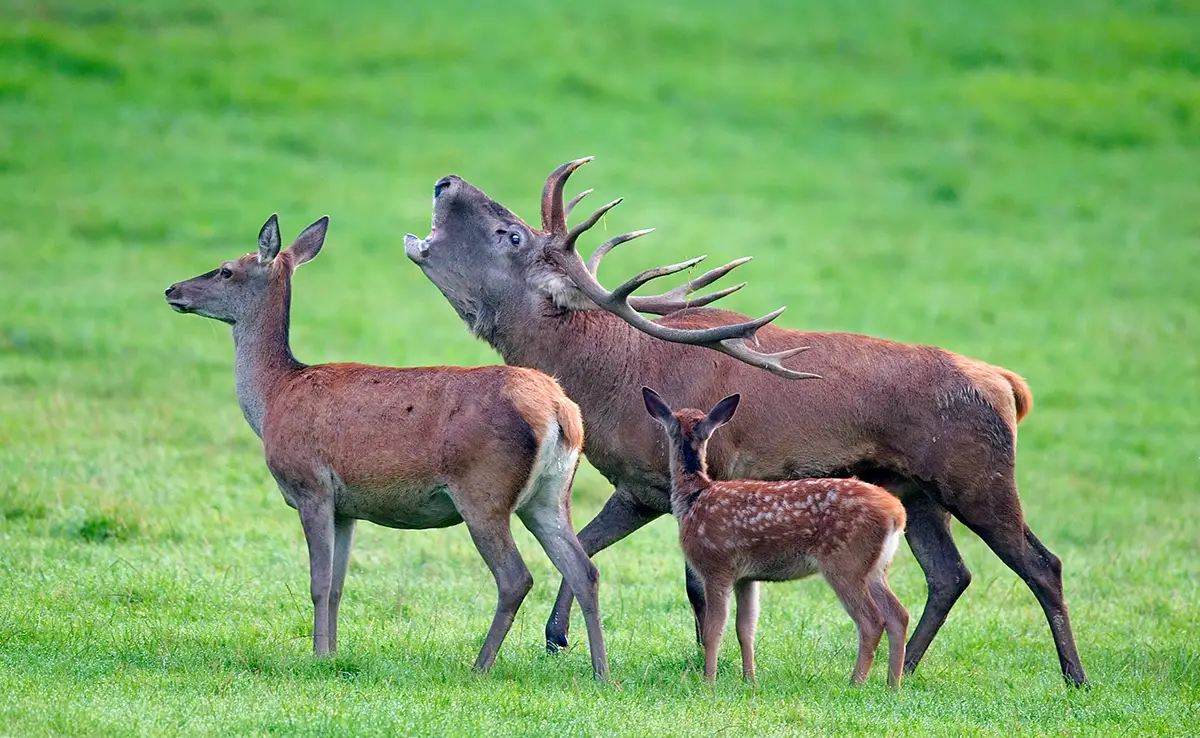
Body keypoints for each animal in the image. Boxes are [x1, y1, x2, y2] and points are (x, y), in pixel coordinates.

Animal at [164, 211, 604, 676]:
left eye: (226, 269)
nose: (172, 289)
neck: (273, 397)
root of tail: (560, 410)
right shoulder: (346, 507)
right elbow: (338, 585)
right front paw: (332, 652)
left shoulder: (310, 485)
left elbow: (318, 581)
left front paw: (317, 654)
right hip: (551, 493)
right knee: (584, 570)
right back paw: (601, 674)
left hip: (483, 490)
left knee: (516, 577)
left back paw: (480, 666)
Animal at [403, 158, 1089, 686]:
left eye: (510, 235)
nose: (445, 180)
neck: (606, 380)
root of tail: (1006, 385)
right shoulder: (642, 487)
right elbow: (590, 547)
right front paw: (557, 635)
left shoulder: (708, 472)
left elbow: (695, 586)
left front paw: (703, 664)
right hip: (917, 493)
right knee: (951, 574)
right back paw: (909, 669)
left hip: (976, 475)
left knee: (1042, 564)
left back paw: (1074, 676)